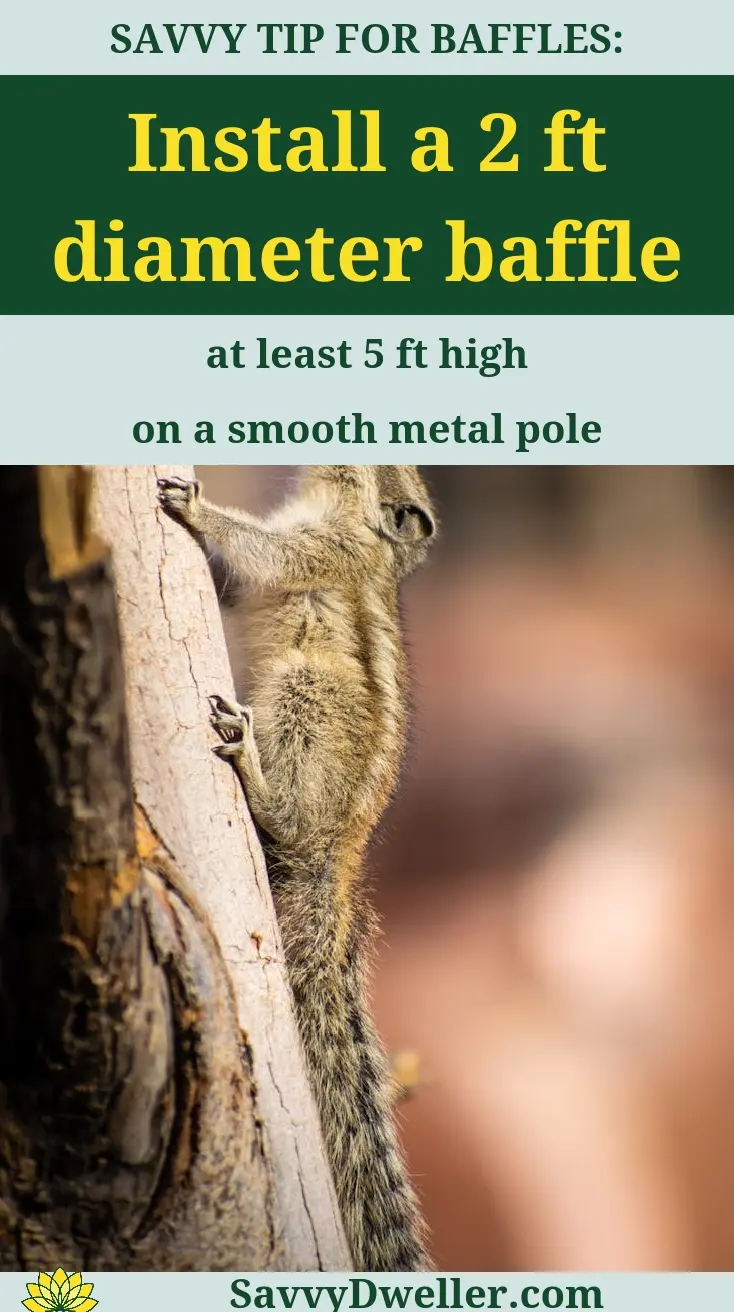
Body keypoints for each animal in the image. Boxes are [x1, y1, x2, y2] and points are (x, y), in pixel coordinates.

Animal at [157, 466, 436, 1272]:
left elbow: (271, 554)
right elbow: (234, 587)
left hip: (308, 693)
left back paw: (256, 773)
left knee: (287, 813)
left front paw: (198, 511)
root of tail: (335, 868)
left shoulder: (326, 550)